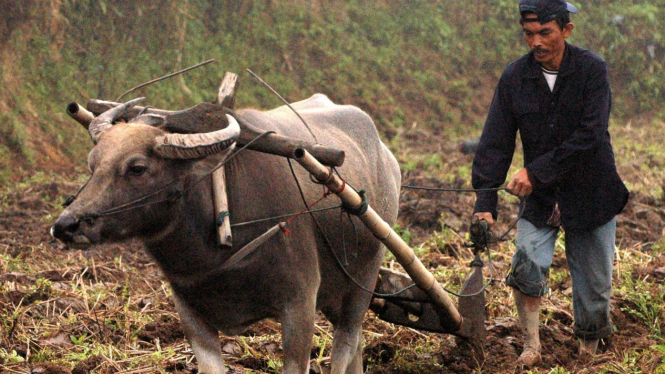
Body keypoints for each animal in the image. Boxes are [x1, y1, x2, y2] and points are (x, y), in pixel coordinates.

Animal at [50, 94, 400, 374]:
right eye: (93, 164)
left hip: (363, 279)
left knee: (345, 344)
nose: (66, 225)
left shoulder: (299, 304)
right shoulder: (190, 313)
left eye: (137, 167)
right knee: (355, 347)